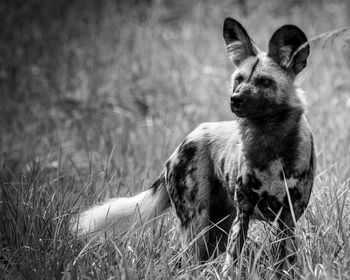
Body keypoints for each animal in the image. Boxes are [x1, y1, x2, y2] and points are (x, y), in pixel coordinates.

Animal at [70, 18, 314, 278]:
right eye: (238, 79)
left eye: (265, 81)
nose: (235, 98)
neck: (269, 143)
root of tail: (187, 139)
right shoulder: (243, 214)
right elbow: (231, 265)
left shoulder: (286, 220)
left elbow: (285, 265)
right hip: (197, 225)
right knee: (187, 264)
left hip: (217, 230)